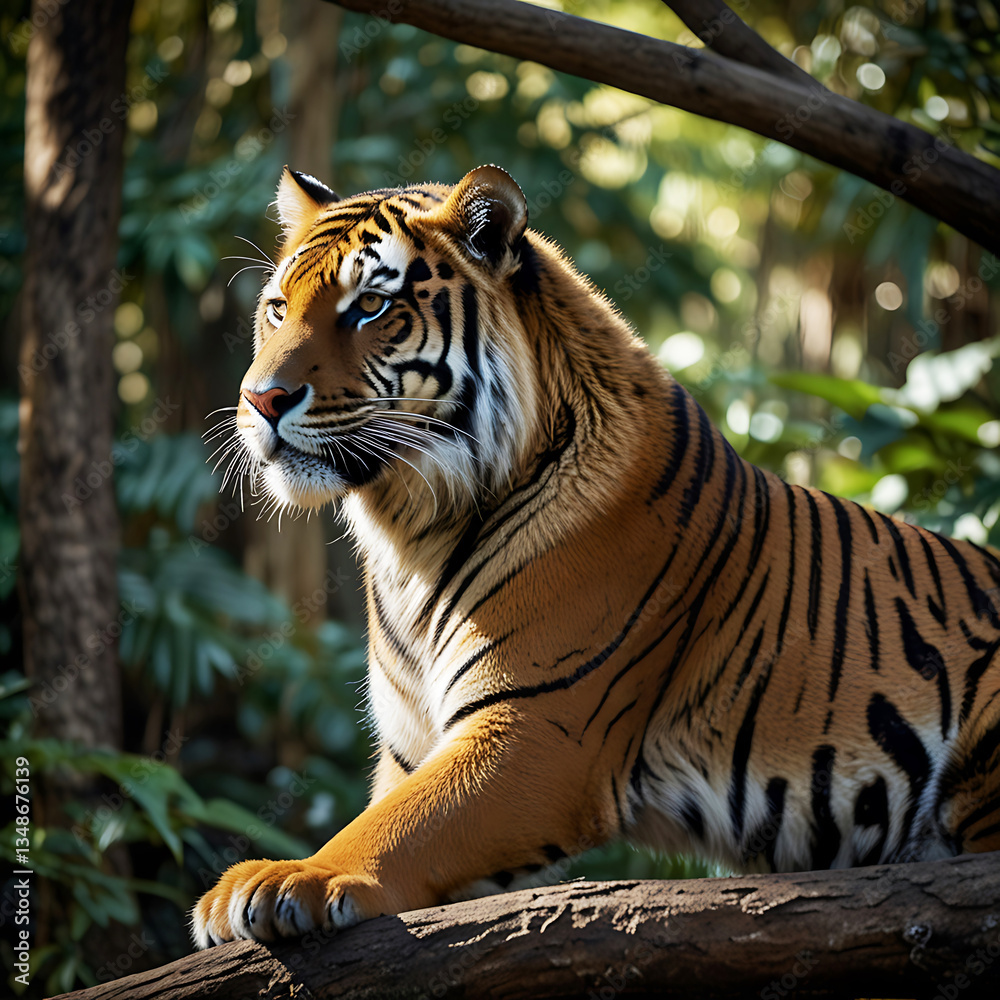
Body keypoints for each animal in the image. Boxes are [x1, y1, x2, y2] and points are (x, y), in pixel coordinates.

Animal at [192, 164, 1000, 948]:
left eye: (367, 306)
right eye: (276, 308)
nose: (260, 399)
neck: (409, 532)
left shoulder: (537, 731)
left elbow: (398, 827)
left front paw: (282, 879)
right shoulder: (411, 747)